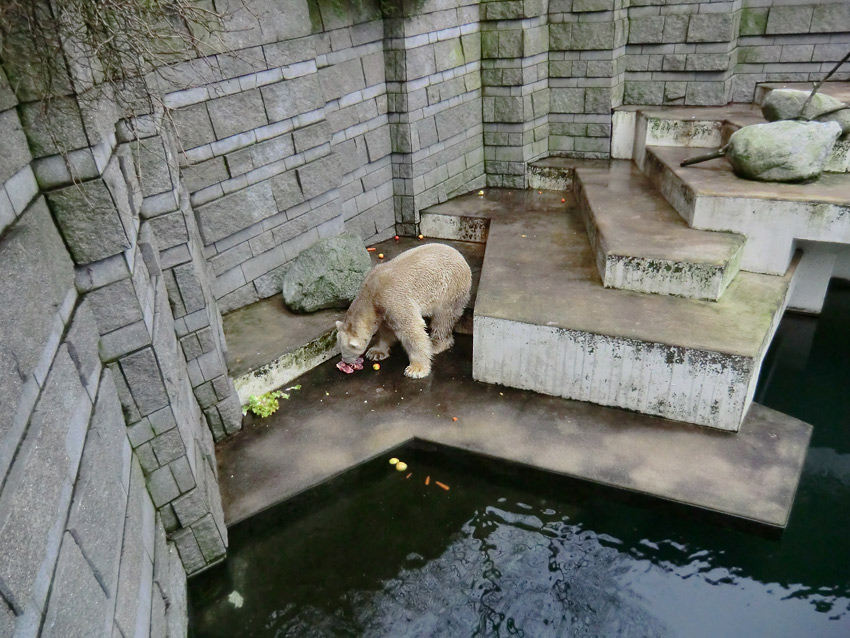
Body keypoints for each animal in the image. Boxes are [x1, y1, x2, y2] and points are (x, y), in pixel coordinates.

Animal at [336, 242, 470, 378]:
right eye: (341, 349)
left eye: (347, 351)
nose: (345, 362)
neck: (371, 291)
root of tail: (460, 256)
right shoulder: (383, 309)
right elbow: (386, 329)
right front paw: (375, 352)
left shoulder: (393, 299)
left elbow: (411, 329)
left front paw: (416, 369)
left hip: (450, 288)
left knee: (443, 318)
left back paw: (436, 345)